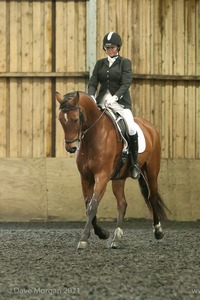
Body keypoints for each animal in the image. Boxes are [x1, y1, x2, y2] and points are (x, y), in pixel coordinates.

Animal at [55, 91, 168, 248]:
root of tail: (150, 126)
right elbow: (88, 205)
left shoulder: (101, 176)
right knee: (122, 203)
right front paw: (102, 233)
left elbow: (93, 205)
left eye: (75, 119)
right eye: (60, 119)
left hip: (151, 171)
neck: (93, 136)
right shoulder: (86, 177)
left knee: (152, 197)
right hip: (119, 178)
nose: (70, 148)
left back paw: (158, 231)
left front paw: (84, 239)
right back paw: (116, 237)